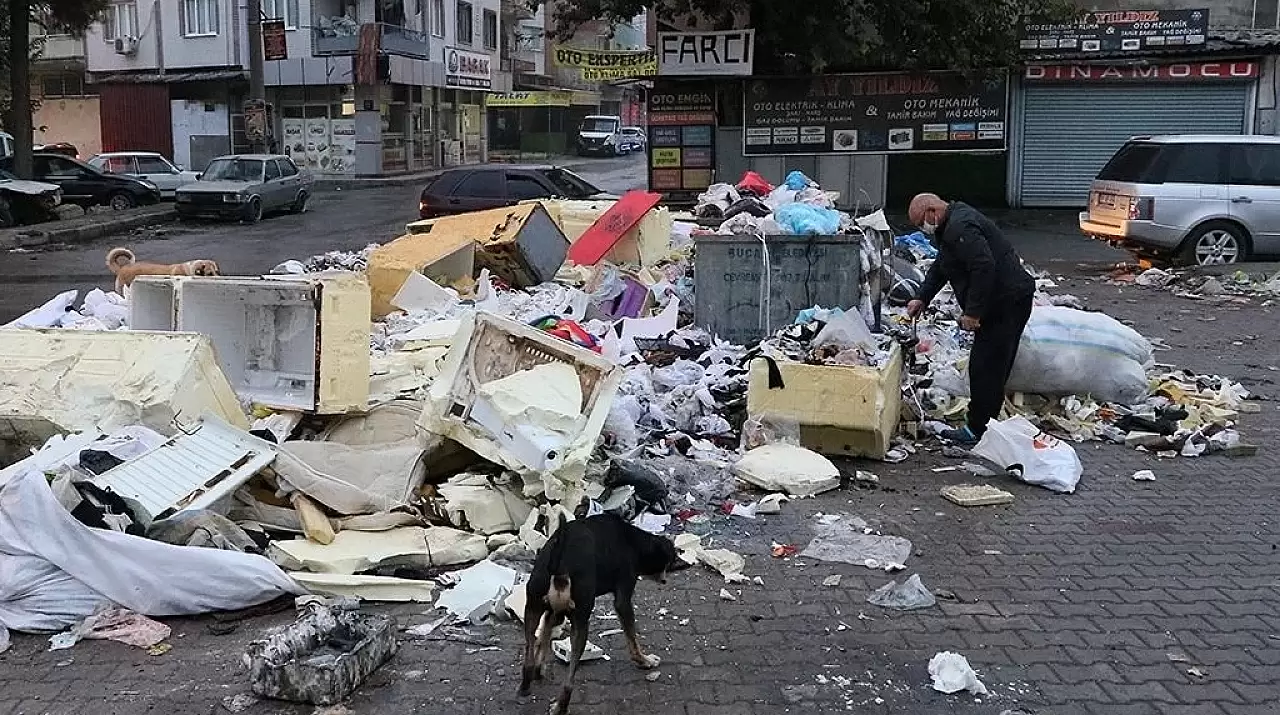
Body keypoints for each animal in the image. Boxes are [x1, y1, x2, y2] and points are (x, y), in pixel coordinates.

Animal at [517, 516, 680, 711]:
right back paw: (561, 706)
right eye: (671, 558)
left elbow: (542, 640)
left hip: (532, 609)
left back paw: (526, 685)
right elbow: (632, 639)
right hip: (580, 623)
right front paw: (644, 660)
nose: (665, 580)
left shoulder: (553, 613)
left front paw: (539, 669)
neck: (633, 540)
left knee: (528, 657)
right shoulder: (623, 600)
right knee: (569, 681)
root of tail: (561, 561)